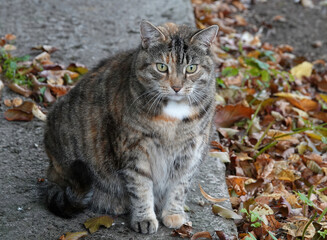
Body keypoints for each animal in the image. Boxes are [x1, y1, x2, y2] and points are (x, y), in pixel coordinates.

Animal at [43, 20, 218, 234]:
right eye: (161, 67)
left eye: (191, 68)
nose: (176, 87)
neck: (172, 117)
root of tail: (51, 170)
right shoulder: (134, 148)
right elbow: (141, 186)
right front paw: (144, 217)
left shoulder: (191, 151)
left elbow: (180, 185)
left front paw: (173, 213)